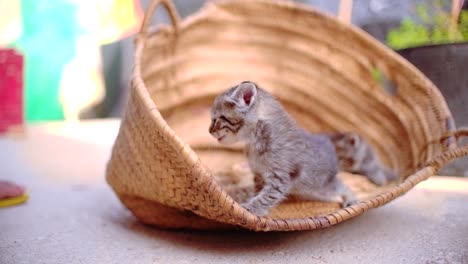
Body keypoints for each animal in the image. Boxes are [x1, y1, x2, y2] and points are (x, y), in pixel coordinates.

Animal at [210, 81, 396, 217]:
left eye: (217, 119)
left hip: (321, 187)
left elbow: (266, 196)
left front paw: (250, 209)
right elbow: (259, 192)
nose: (209, 130)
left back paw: (352, 198)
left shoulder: (280, 178)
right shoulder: (259, 175)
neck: (254, 142)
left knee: (343, 185)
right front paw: (253, 205)